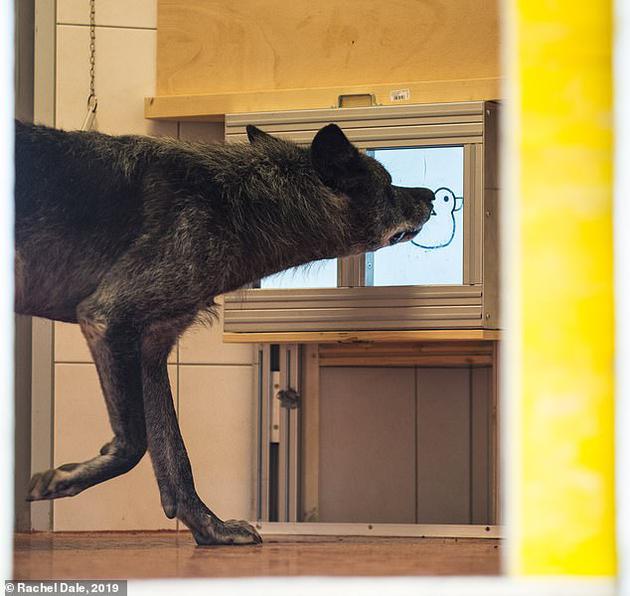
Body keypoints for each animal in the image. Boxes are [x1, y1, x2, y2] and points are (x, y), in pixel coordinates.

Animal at [16, 122, 440, 544]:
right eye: (388, 185)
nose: (432, 195)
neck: (239, 203)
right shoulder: (107, 317)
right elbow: (134, 443)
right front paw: (60, 479)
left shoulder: (150, 348)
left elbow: (173, 455)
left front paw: (210, 528)